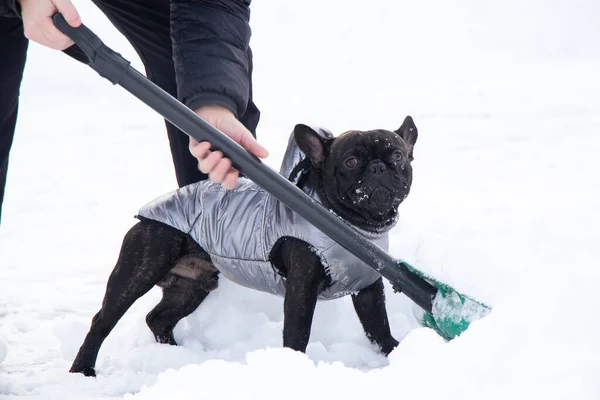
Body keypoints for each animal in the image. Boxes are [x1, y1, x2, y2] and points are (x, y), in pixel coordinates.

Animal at [69, 115, 418, 376]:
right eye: (351, 161)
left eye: (398, 155)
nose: (378, 167)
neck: (349, 224)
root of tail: (153, 208)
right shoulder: (302, 288)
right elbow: (298, 331)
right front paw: (294, 366)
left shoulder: (368, 287)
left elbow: (377, 326)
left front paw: (394, 352)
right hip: (139, 270)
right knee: (102, 321)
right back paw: (83, 370)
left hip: (191, 287)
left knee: (159, 318)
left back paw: (177, 356)